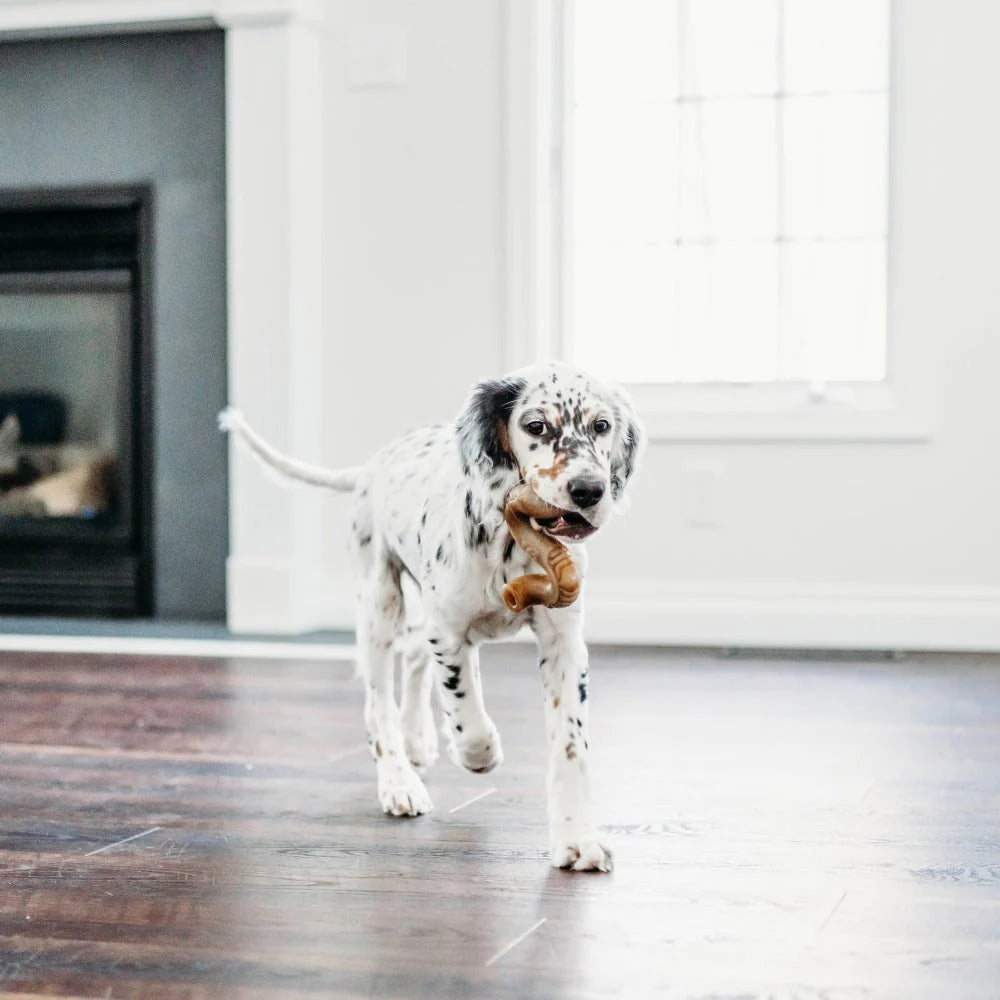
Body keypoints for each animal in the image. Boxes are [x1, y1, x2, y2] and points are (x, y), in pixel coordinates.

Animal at [220, 364, 644, 872]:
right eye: (536, 426)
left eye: (602, 426)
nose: (589, 490)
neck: (510, 540)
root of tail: (373, 465)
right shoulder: (451, 632)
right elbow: (467, 709)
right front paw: (478, 753)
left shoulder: (564, 645)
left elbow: (570, 746)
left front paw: (576, 837)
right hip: (379, 602)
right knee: (379, 701)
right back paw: (399, 781)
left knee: (414, 661)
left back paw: (417, 738)